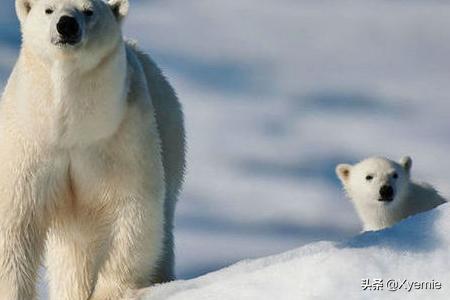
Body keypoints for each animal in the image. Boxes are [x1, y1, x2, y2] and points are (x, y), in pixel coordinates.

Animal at [0, 0, 185, 298]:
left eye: (88, 11)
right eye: (49, 10)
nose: (66, 25)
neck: (71, 129)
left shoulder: (119, 137)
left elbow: (131, 208)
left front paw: (109, 292)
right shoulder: (30, 140)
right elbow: (16, 218)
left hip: (170, 139)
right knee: (73, 254)